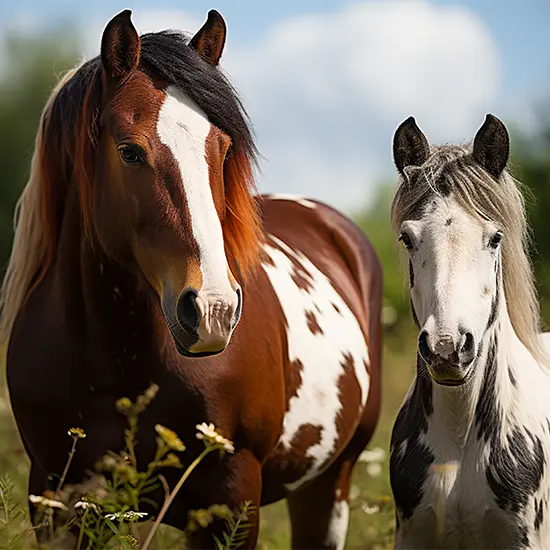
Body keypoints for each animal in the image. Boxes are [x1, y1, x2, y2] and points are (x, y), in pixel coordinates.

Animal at [2, 9, 384, 550]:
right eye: (130, 152)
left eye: (222, 150)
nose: (213, 310)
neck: (113, 361)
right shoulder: (59, 503)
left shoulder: (232, 499)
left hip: (330, 484)